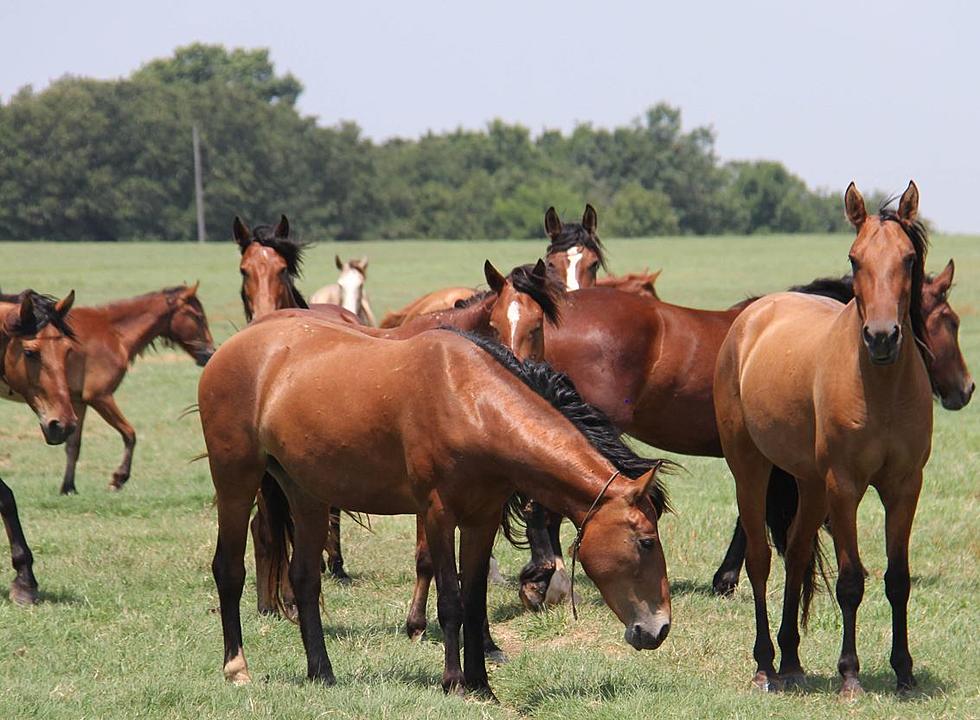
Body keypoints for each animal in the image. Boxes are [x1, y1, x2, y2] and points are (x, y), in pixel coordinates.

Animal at [1, 286, 216, 496]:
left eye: (68, 350)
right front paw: (118, 478)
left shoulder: (77, 403)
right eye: (198, 316)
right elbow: (129, 434)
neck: (114, 332)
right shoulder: (100, 397)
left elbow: (73, 446)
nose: (210, 353)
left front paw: (68, 487)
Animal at [199, 312, 672, 696]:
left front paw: (482, 684)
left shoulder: (481, 519)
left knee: (304, 579)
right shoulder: (438, 515)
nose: (659, 628)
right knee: (229, 570)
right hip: (235, 479)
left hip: (306, 494)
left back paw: (322, 672)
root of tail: (228, 350)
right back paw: (236, 668)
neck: (470, 401)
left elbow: (475, 601)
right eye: (646, 542)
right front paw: (455, 682)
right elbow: (450, 601)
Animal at [712, 181, 936, 696]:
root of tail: (753, 316)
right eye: (854, 259)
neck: (880, 390)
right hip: (751, 469)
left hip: (810, 484)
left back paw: (792, 661)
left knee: (796, 555)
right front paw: (850, 674)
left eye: (908, 259)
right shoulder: (845, 486)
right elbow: (851, 580)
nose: (881, 337)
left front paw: (904, 671)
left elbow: (898, 579)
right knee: (760, 560)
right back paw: (765, 665)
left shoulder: (905, 487)